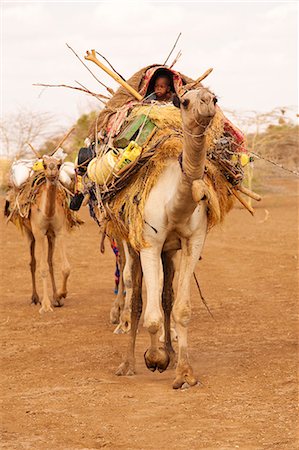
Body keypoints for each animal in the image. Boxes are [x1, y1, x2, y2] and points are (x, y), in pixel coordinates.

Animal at [116, 86, 218, 388]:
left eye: (215, 98)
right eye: (184, 101)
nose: (207, 103)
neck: (175, 204)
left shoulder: (192, 242)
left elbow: (181, 309)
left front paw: (184, 372)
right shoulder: (150, 244)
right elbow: (150, 317)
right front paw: (154, 359)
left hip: (168, 252)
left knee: (166, 297)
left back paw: (170, 354)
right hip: (132, 245)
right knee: (137, 300)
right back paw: (128, 363)